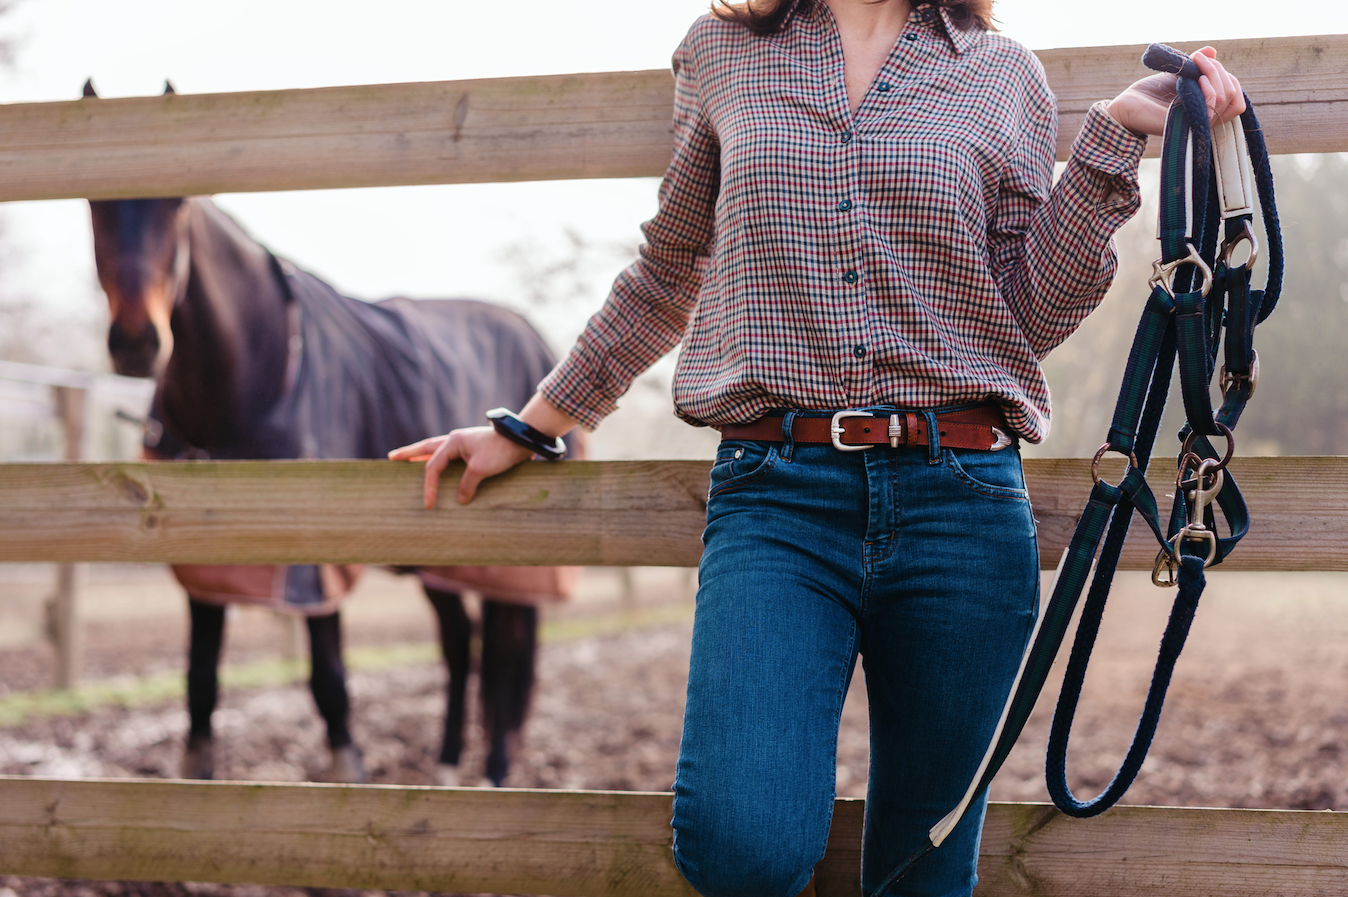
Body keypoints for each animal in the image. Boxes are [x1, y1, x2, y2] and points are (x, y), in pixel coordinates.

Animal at [86, 80, 574, 787]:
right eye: (93, 202)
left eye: (177, 204)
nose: (135, 343)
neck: (254, 379)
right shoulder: (202, 567)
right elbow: (200, 686)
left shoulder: (315, 563)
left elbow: (330, 683)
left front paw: (351, 770)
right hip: (440, 563)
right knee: (462, 646)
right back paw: (446, 768)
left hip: (511, 563)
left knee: (507, 652)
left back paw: (492, 773)